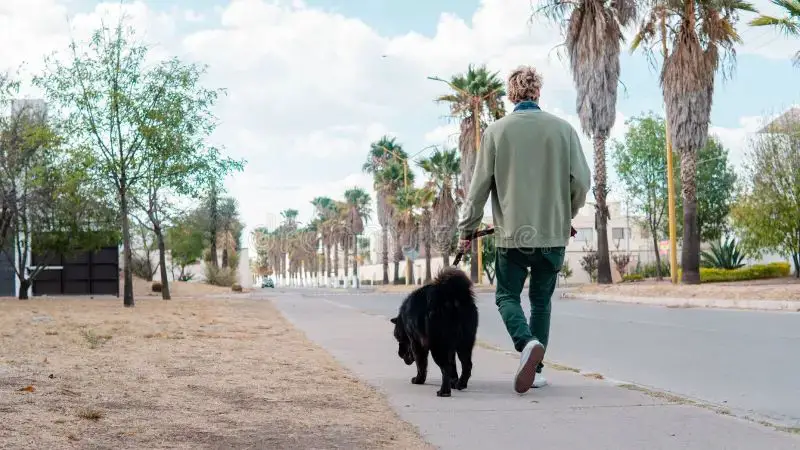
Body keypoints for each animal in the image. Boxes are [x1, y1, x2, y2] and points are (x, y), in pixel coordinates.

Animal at [390, 268, 478, 398]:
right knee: (466, 365)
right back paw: (460, 384)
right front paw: (453, 381)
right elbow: (453, 365)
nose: (399, 354)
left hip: (438, 346)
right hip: (465, 343)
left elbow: (421, 364)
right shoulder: (450, 348)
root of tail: (450, 297)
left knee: (445, 368)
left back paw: (444, 392)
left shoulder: (417, 344)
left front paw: (418, 380)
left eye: (399, 339)